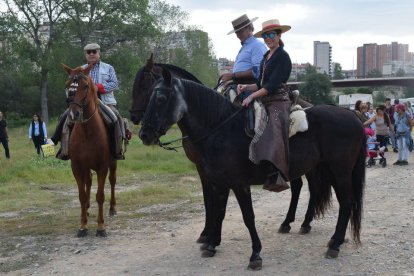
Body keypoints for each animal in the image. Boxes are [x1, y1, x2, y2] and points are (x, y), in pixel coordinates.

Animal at [63, 64, 118, 237]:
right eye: (67, 85)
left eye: (86, 86)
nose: (74, 113)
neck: (87, 131)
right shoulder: (77, 166)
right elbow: (81, 195)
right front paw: (83, 226)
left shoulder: (102, 167)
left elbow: (100, 195)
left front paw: (101, 227)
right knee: (88, 182)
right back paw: (86, 209)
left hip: (113, 163)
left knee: (112, 181)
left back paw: (112, 208)